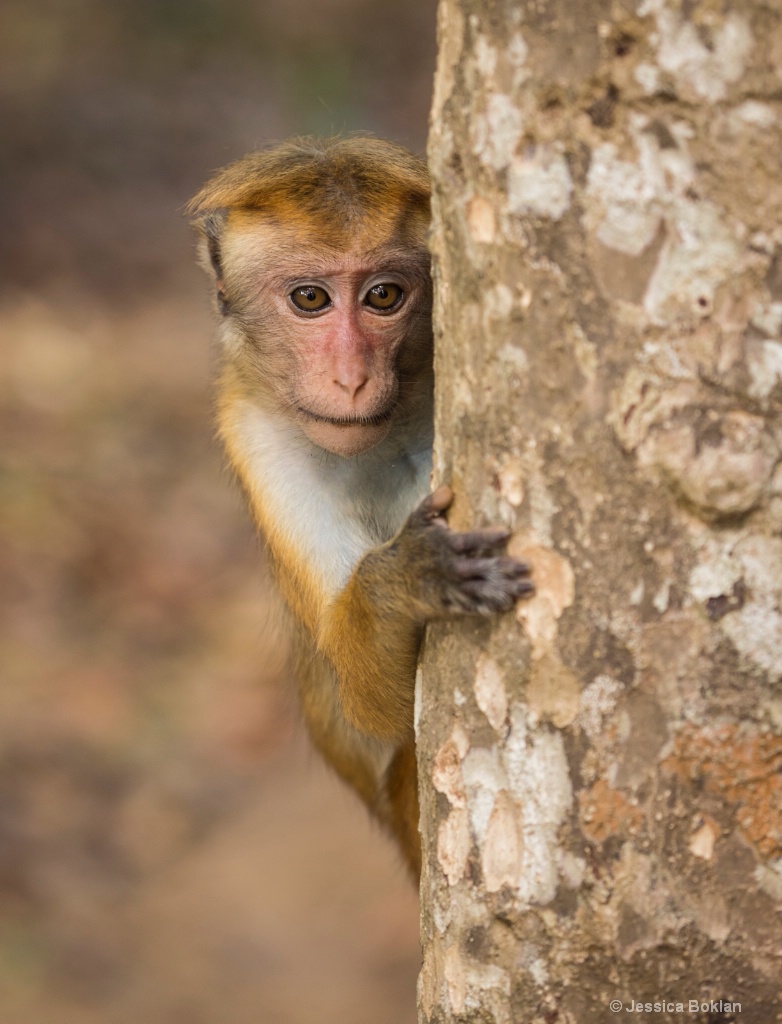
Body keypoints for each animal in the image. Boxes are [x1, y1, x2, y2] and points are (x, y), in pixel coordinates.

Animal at [188, 134, 532, 872]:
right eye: (311, 298)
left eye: (384, 296)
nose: (350, 378)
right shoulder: (257, 440)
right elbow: (374, 706)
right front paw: (406, 582)